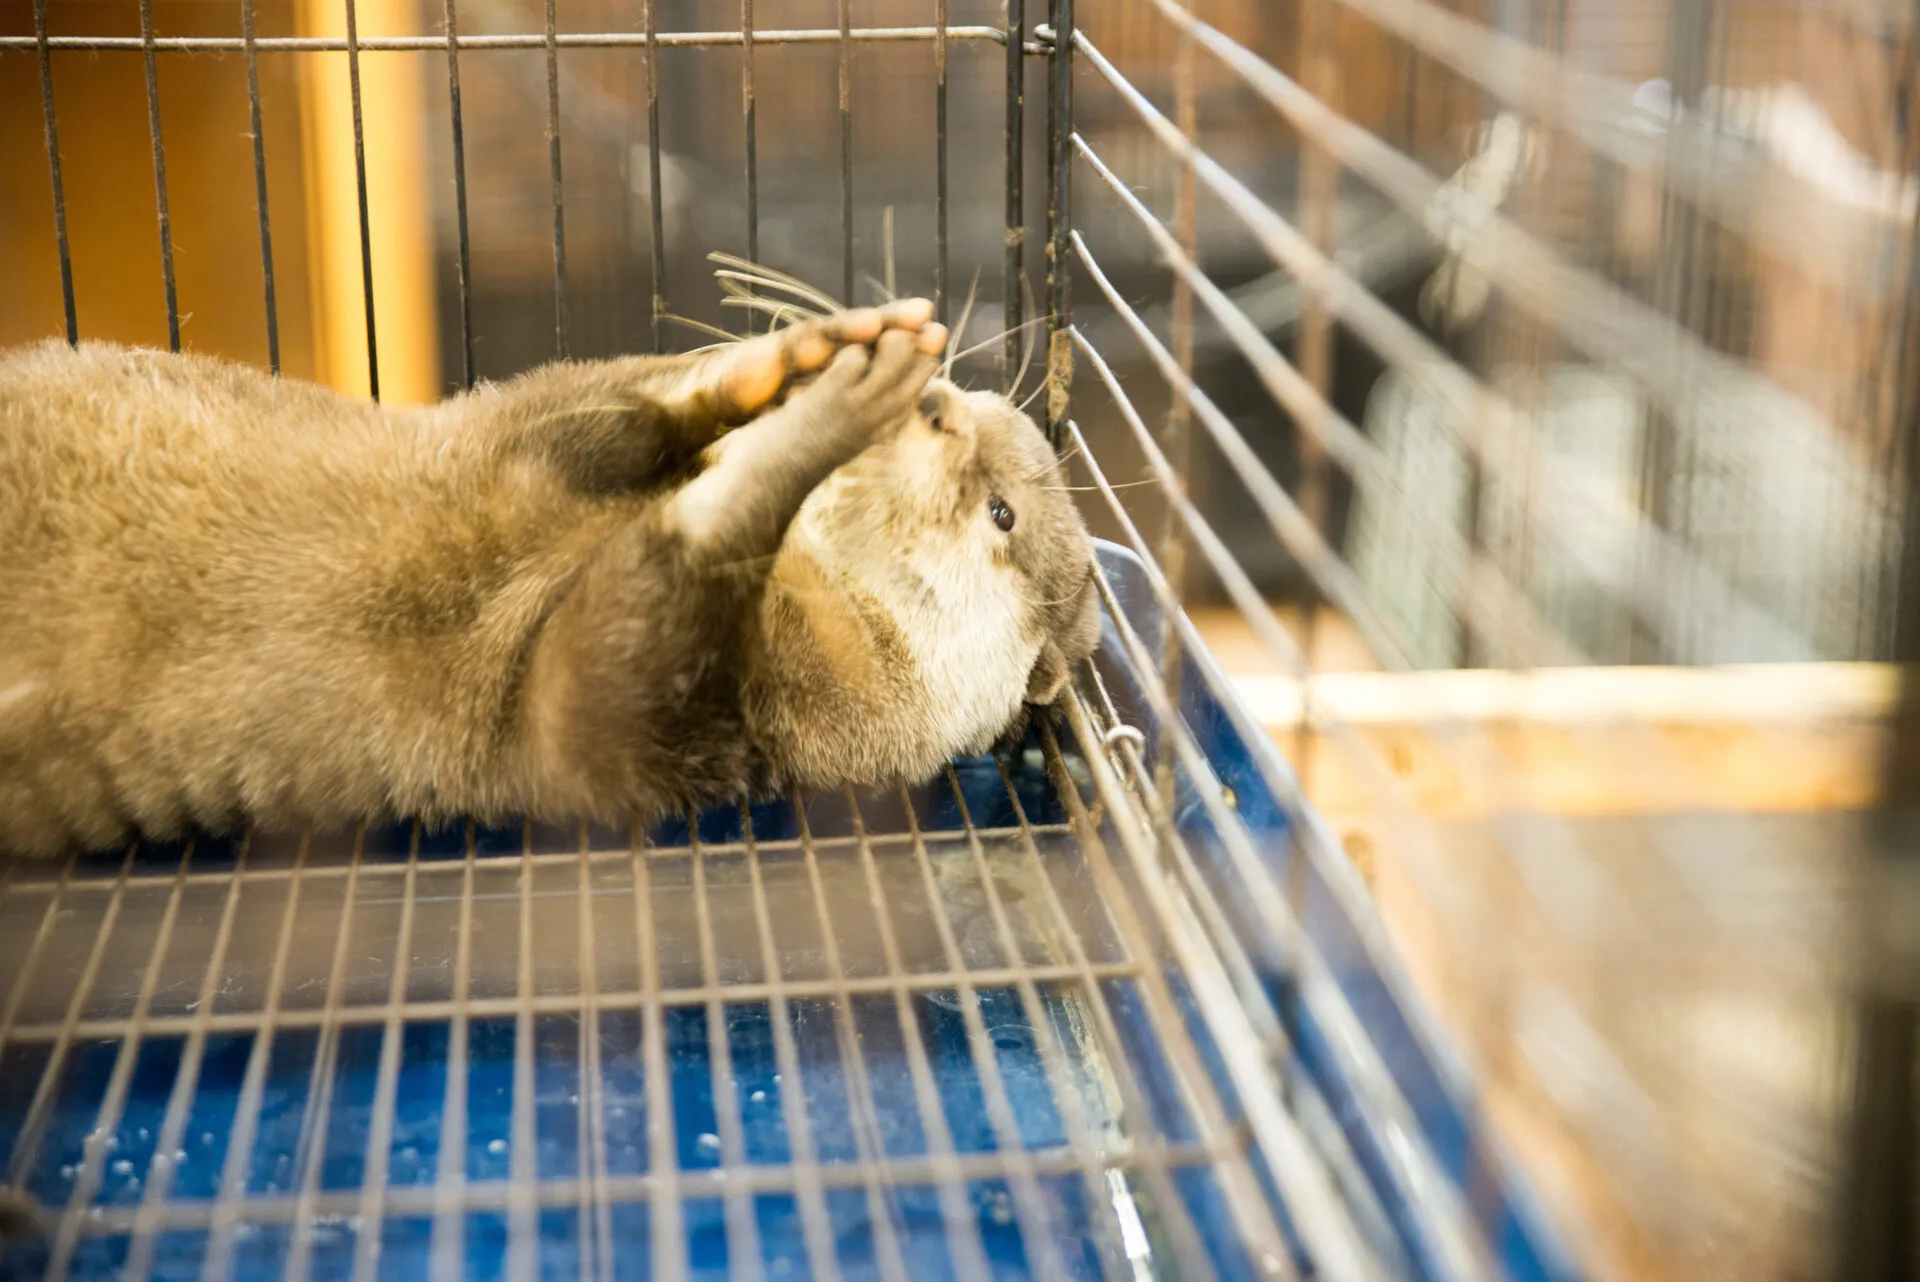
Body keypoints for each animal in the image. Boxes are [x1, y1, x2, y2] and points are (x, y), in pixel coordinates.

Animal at [0, 297, 1101, 859]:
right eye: (969, 397)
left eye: (1001, 513)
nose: (938, 405)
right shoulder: (491, 438)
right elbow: (584, 408)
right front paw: (794, 360)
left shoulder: (623, 733)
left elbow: (623, 634)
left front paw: (817, 421)